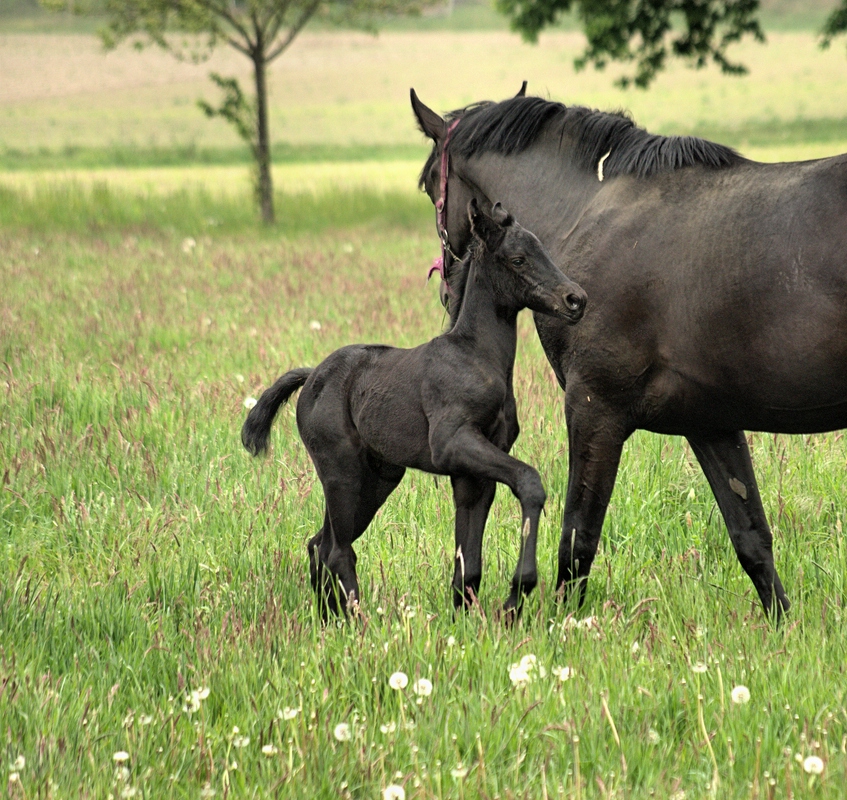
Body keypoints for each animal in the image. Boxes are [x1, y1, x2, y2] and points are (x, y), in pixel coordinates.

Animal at [242, 202, 588, 620]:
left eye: (544, 251)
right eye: (518, 259)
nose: (576, 300)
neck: (477, 357)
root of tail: (311, 377)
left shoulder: (472, 472)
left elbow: (469, 563)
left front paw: (468, 618)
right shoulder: (453, 443)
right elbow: (529, 482)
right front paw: (517, 592)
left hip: (378, 478)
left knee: (319, 544)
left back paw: (330, 620)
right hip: (341, 472)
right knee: (338, 550)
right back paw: (358, 623)